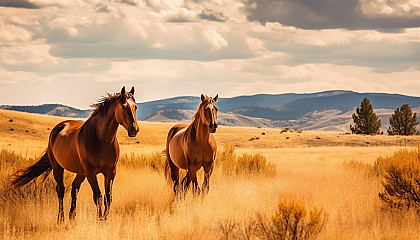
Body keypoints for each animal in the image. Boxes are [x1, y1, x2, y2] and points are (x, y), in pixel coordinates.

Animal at [10, 86, 139, 221]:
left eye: (135, 107)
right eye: (124, 106)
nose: (134, 129)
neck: (101, 139)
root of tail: (59, 127)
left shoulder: (111, 171)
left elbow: (108, 197)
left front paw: (104, 219)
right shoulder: (91, 172)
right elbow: (97, 196)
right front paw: (99, 220)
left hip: (81, 172)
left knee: (74, 188)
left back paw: (72, 217)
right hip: (58, 167)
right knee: (61, 190)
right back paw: (61, 219)